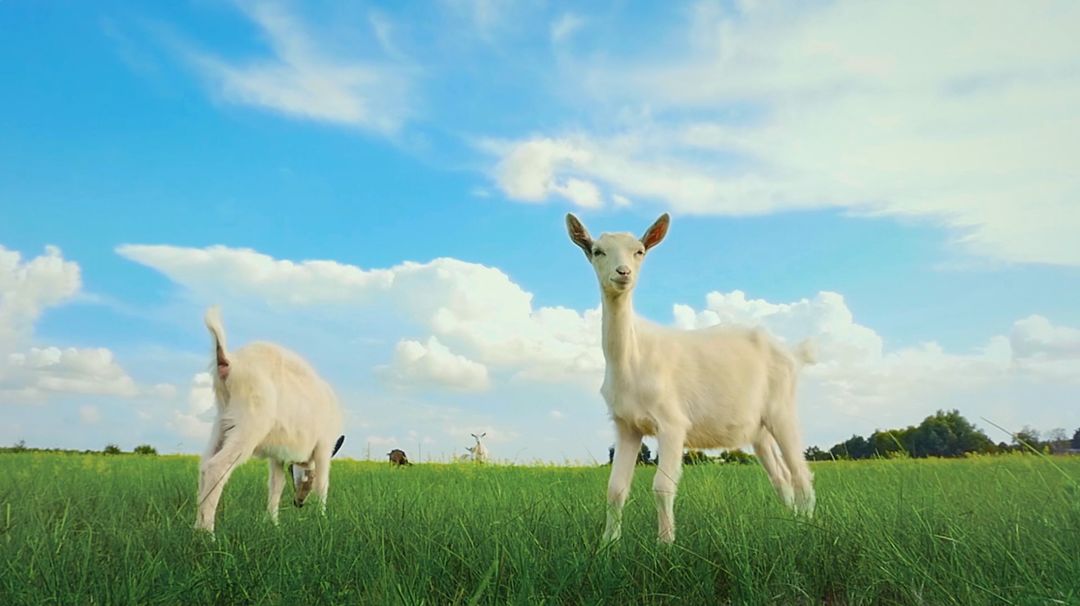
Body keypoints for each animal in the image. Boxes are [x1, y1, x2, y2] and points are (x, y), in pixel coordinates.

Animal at [196, 308, 343, 531]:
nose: (299, 503)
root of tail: (229, 361)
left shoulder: (278, 456)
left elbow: (276, 486)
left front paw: (273, 524)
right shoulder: (324, 446)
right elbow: (323, 484)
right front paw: (322, 519)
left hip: (222, 423)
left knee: (204, 465)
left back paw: (196, 527)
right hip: (251, 421)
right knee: (216, 467)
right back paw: (207, 534)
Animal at [570, 213, 812, 544]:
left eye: (639, 251)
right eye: (597, 251)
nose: (623, 273)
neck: (632, 359)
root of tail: (789, 351)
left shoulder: (672, 422)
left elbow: (662, 486)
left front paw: (665, 544)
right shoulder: (626, 425)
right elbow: (615, 488)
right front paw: (608, 543)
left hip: (781, 408)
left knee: (801, 473)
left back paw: (807, 528)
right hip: (758, 427)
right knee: (781, 476)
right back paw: (789, 523)